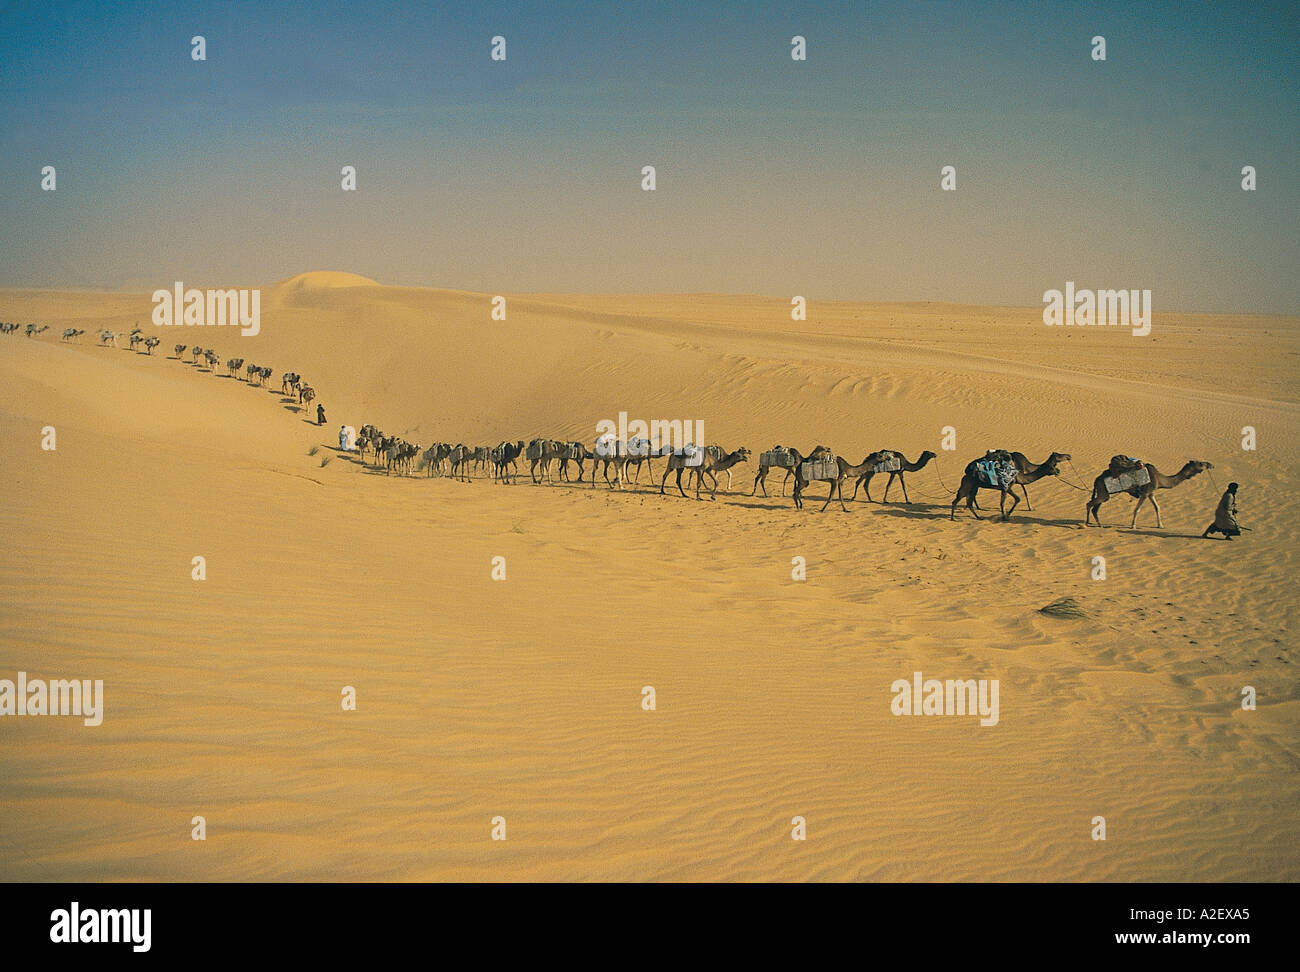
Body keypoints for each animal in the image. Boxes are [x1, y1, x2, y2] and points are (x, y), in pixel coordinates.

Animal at [1081, 460, 1211, 527]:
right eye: (1200, 463)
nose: (1210, 464)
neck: (1159, 478)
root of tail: (1096, 479)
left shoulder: (1151, 493)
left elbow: (1157, 507)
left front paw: (1160, 525)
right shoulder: (1145, 493)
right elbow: (1137, 509)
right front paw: (1133, 525)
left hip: (1103, 493)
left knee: (1095, 508)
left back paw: (1099, 524)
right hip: (1104, 493)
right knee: (1089, 504)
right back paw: (1088, 522)